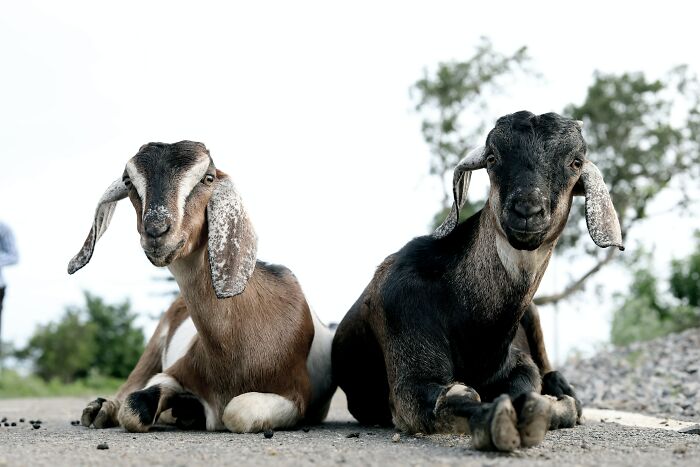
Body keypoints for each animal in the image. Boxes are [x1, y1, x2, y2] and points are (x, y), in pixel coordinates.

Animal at [68, 141, 335, 432]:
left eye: (208, 178)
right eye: (128, 181)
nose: (157, 231)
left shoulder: (298, 395)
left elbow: (238, 411)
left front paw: (189, 409)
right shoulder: (174, 371)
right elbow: (134, 406)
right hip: (153, 346)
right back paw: (101, 409)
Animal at [331, 111, 623, 451]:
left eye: (575, 161)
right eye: (493, 158)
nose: (527, 210)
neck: (479, 331)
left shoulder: (517, 362)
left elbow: (528, 385)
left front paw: (548, 407)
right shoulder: (407, 348)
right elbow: (450, 397)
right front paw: (496, 421)